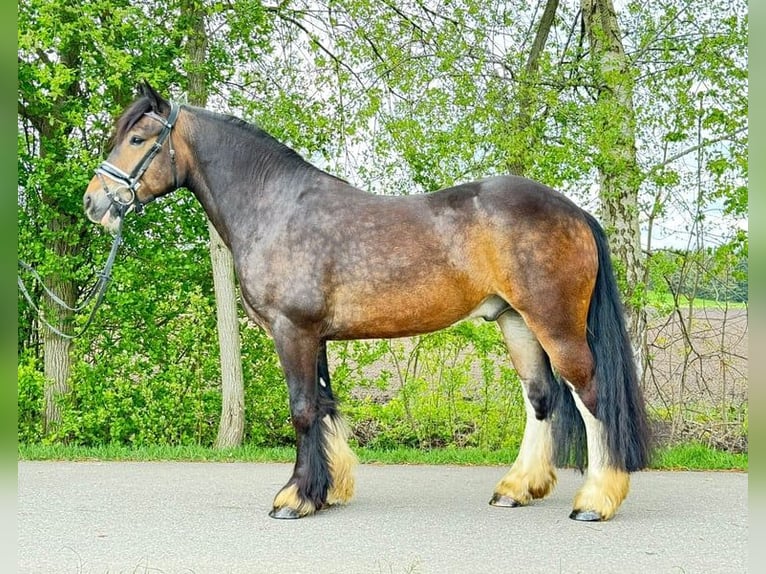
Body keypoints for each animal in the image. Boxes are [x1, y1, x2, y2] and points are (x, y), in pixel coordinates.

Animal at [85, 83, 656, 524]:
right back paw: (516, 488)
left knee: (590, 394)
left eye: (138, 138)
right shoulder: (313, 335)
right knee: (541, 397)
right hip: (516, 322)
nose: (95, 203)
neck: (276, 207)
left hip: (555, 324)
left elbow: (302, 410)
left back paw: (594, 501)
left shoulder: (292, 330)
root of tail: (575, 211)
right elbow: (323, 405)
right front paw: (328, 490)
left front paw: (294, 499)